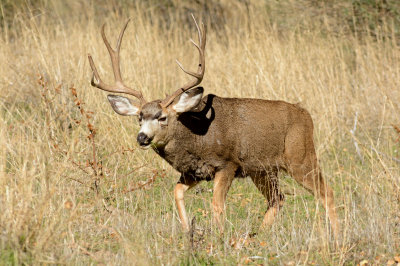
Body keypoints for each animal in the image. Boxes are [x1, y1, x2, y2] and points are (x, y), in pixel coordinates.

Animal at [86, 15, 338, 238]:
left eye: (162, 117)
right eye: (139, 117)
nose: (142, 138)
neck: (195, 139)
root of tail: (305, 115)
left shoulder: (227, 164)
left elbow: (217, 204)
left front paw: (218, 237)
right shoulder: (195, 171)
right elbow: (176, 192)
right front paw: (188, 230)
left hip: (301, 157)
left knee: (326, 192)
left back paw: (335, 234)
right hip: (262, 169)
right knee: (277, 199)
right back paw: (260, 235)